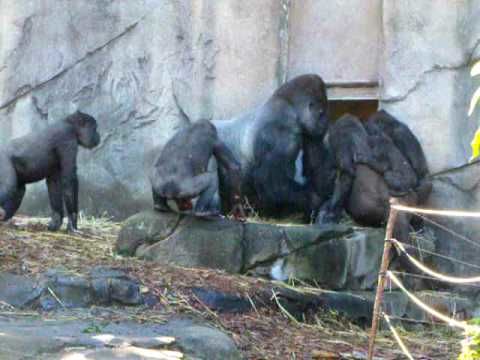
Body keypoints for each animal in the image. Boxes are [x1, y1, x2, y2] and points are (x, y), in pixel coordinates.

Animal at [214, 73, 330, 217]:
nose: (325, 122)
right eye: (322, 112)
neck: (290, 108)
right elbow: (271, 183)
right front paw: (316, 202)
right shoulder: (281, 135)